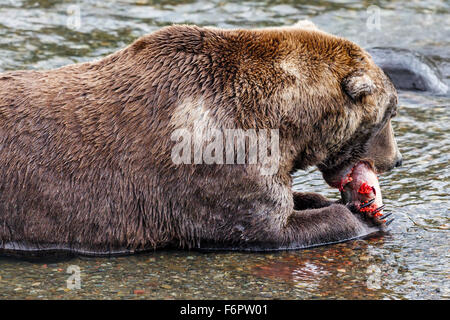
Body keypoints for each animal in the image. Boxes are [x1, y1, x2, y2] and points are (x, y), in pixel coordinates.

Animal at [0, 23, 400, 256]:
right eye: (390, 114)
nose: (395, 160)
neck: (285, 121)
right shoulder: (217, 158)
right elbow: (269, 227)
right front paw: (366, 216)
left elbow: (291, 201)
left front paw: (333, 202)